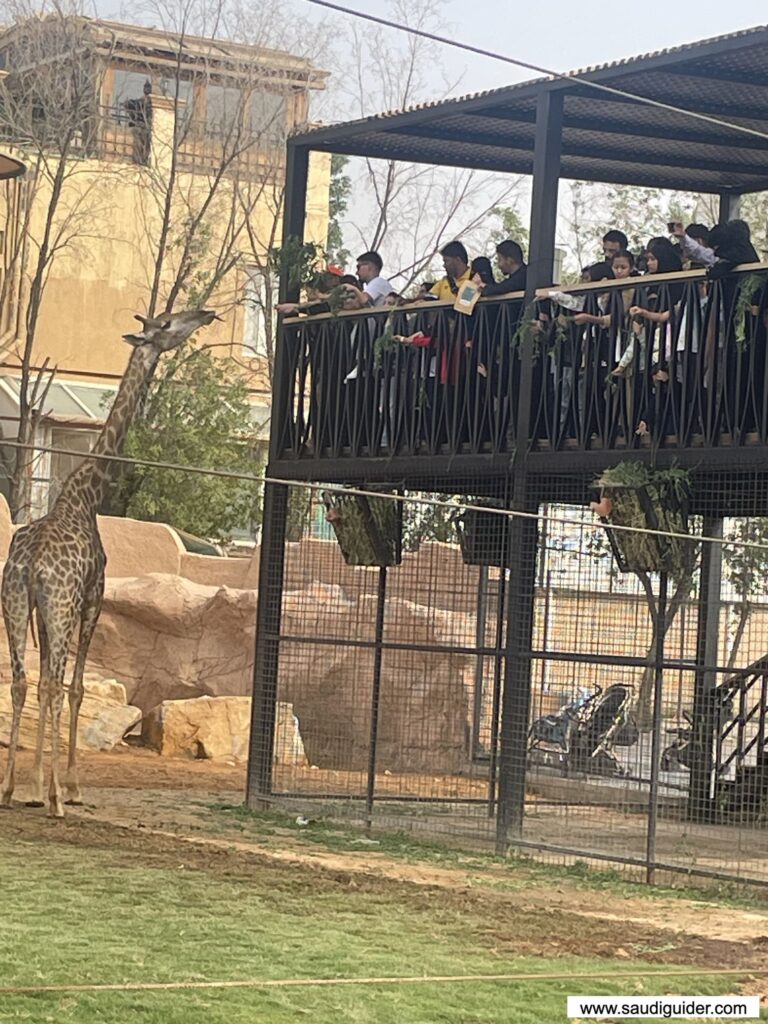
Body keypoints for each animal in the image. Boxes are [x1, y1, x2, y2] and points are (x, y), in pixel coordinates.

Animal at [0, 307, 217, 819]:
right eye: (167, 325)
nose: (204, 313)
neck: (87, 493)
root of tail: (32, 564)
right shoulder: (92, 601)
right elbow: (76, 688)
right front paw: (69, 788)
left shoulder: (43, 612)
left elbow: (44, 682)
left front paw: (31, 786)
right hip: (60, 609)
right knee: (53, 686)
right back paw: (57, 801)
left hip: (15, 604)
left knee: (22, 681)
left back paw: (9, 790)